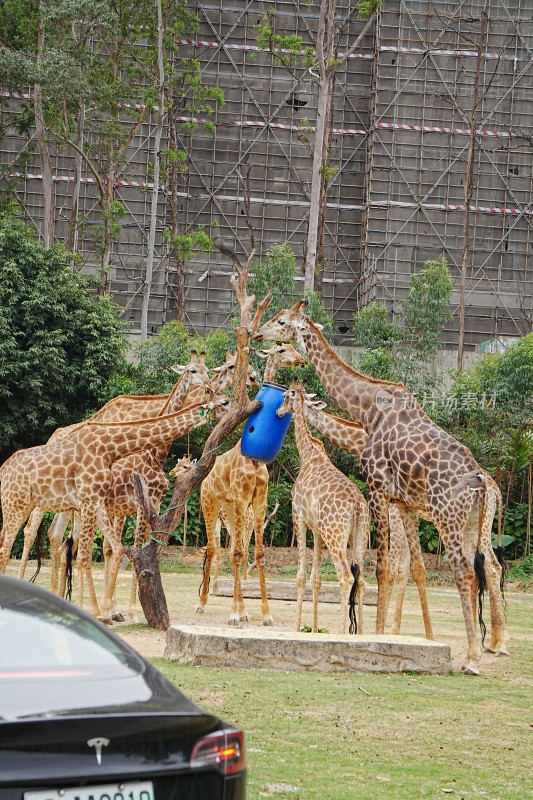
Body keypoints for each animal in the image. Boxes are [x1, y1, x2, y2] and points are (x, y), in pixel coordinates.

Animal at [0, 404, 208, 620]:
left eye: (185, 465)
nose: (173, 473)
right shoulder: (133, 506)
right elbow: (122, 548)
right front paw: (122, 612)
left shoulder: (131, 507)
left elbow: (118, 548)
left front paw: (113, 610)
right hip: (33, 505)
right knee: (28, 535)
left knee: (56, 539)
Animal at [195, 338, 306, 624]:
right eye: (281, 350)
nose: (301, 360)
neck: (253, 460)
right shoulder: (241, 497)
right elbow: (236, 553)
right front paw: (235, 614)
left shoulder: (258, 500)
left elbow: (257, 554)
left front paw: (264, 614)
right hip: (210, 505)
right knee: (213, 549)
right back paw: (203, 604)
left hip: (231, 511)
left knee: (233, 550)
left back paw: (241, 609)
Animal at [272, 382, 368, 636]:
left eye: (285, 396)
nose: (278, 412)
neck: (307, 454)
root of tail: (357, 505)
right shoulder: (317, 530)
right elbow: (317, 578)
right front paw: (314, 630)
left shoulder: (299, 516)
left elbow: (301, 575)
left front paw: (297, 627)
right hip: (359, 537)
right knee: (361, 579)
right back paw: (362, 634)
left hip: (335, 535)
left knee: (345, 577)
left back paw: (342, 633)